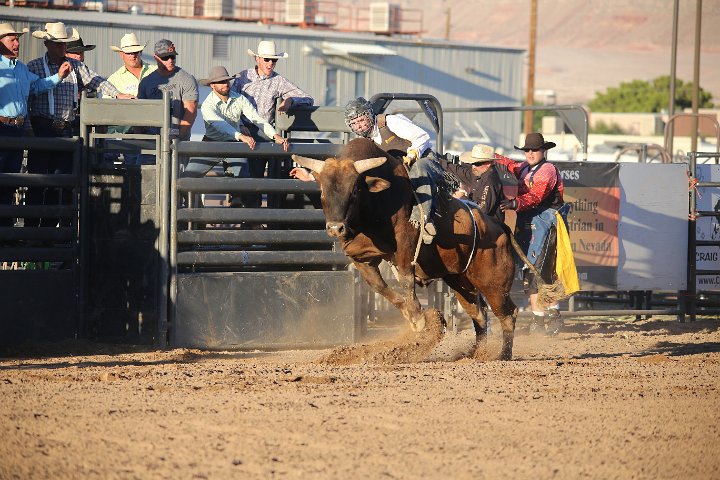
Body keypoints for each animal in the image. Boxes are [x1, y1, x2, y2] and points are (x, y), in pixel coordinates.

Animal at [292, 138, 518, 360]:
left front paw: (419, 319)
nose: (335, 228)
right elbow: (380, 286)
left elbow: (406, 279)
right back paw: (475, 352)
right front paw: (410, 315)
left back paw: (503, 354)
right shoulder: (361, 256)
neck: (374, 205)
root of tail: (499, 226)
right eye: (322, 189)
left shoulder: (405, 244)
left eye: (354, 190)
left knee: (508, 313)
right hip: (460, 281)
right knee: (478, 314)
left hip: (493, 283)